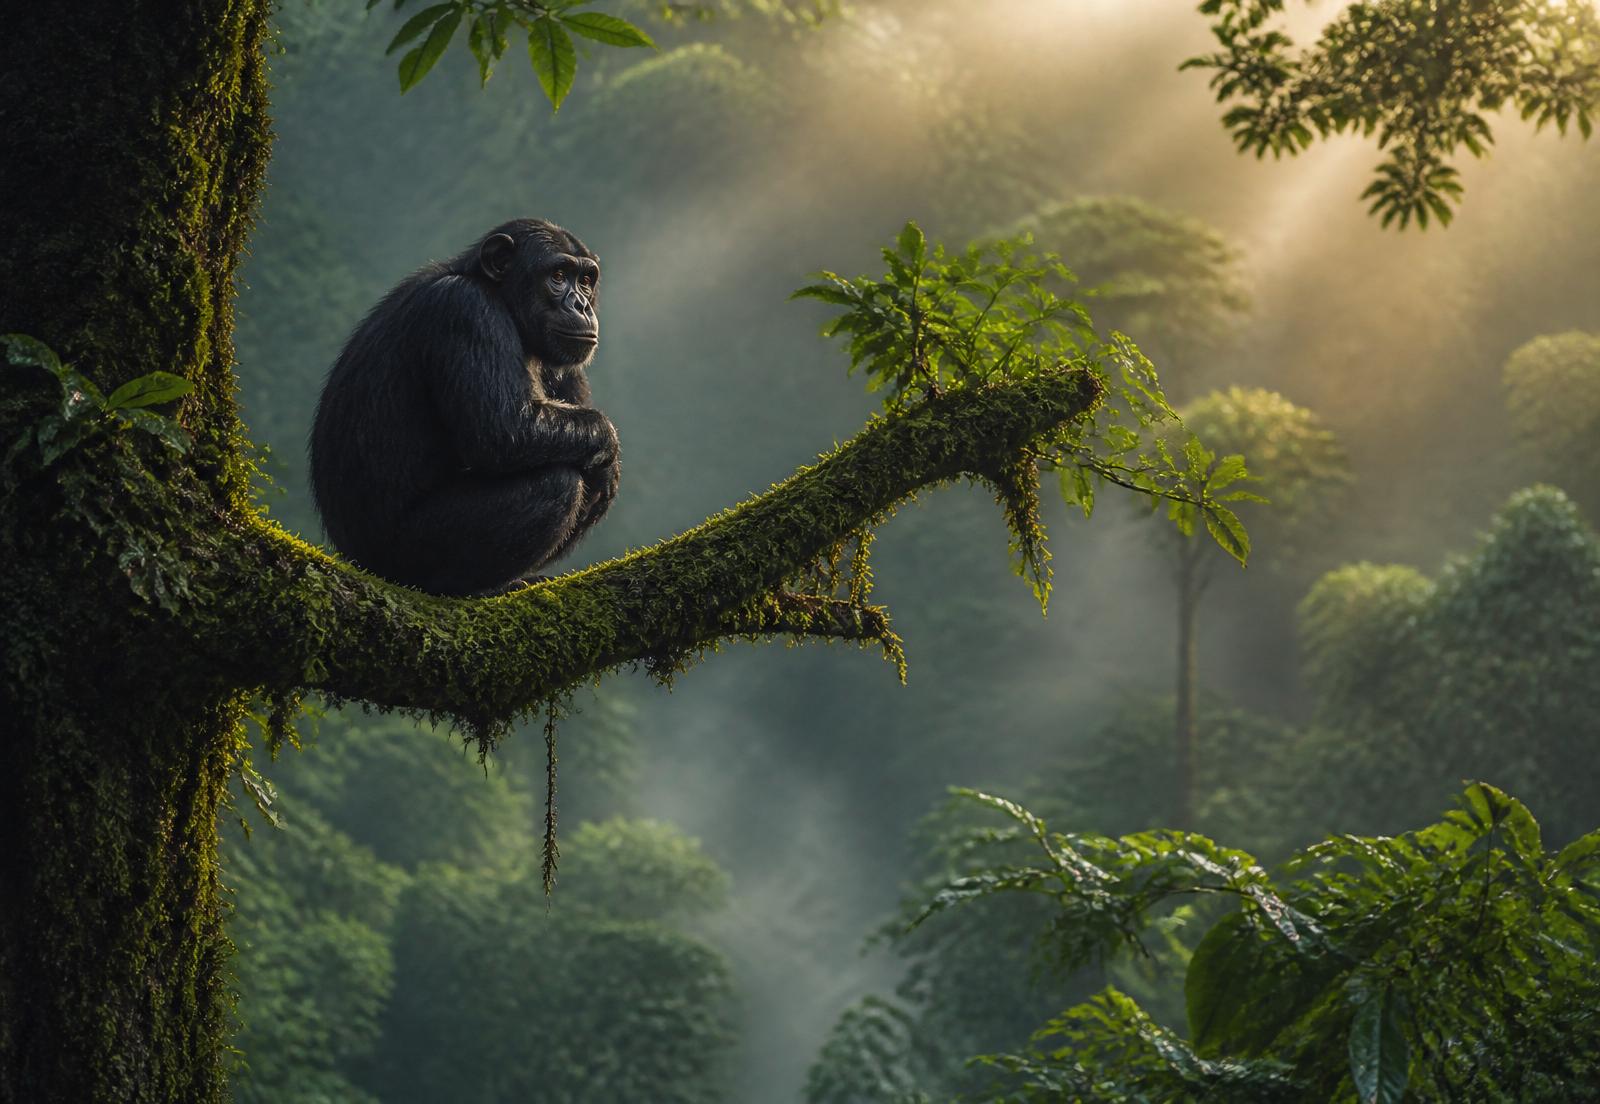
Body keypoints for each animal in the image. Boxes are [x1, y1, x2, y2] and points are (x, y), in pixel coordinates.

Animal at [309, 218, 619, 596]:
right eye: (558, 275)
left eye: (586, 280)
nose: (580, 305)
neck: (502, 298)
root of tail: (357, 562)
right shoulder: (467, 310)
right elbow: (505, 430)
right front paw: (606, 439)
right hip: (409, 551)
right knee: (558, 482)